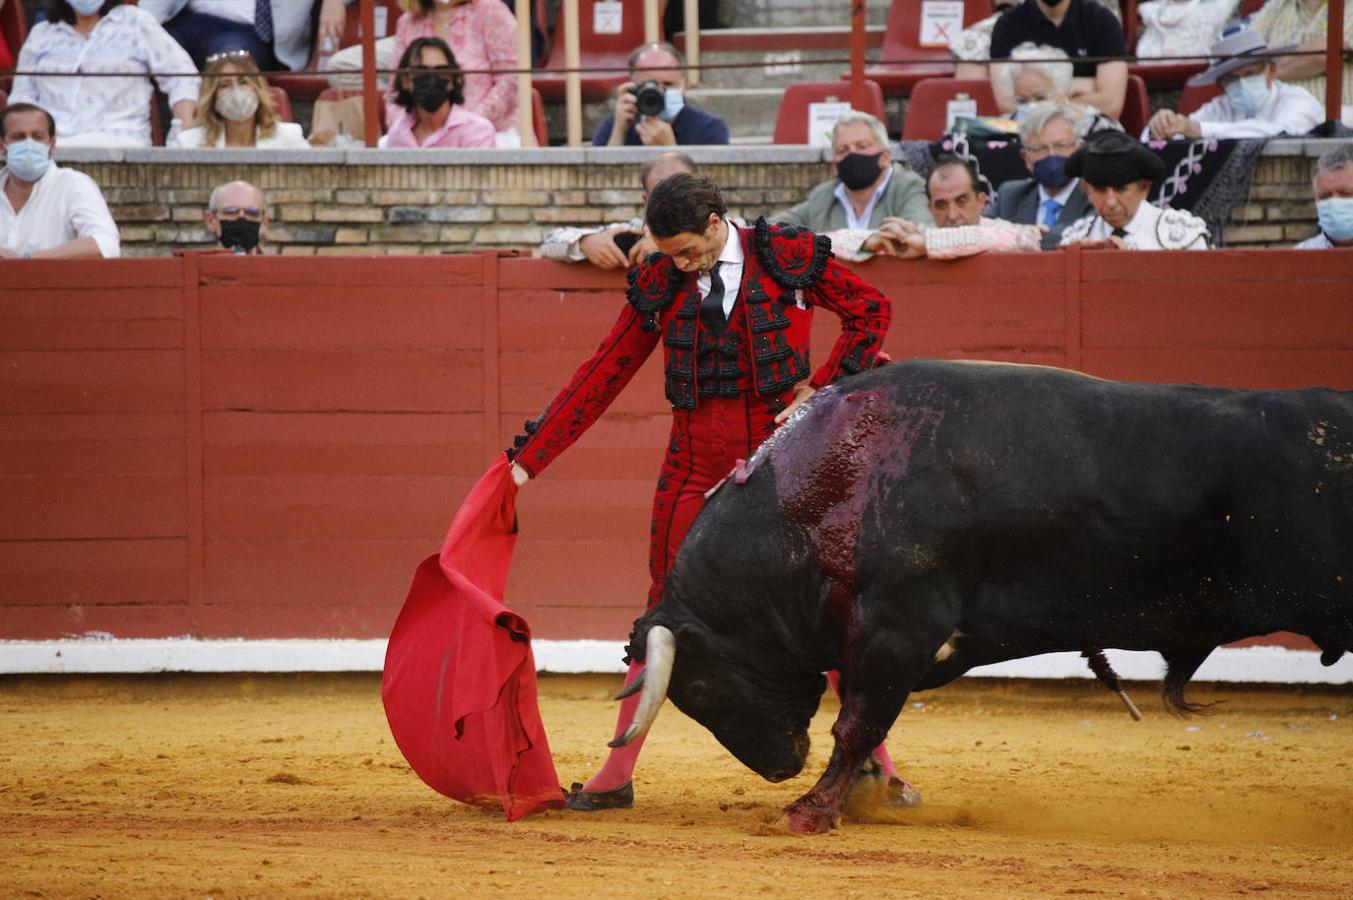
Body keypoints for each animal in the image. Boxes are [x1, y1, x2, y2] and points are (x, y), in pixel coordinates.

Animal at [616, 357, 1353, 833]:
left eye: (697, 688)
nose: (778, 767)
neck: (824, 490)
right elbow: (861, 721)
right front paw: (857, 796)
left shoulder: (898, 625)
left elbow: (857, 721)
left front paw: (809, 812)